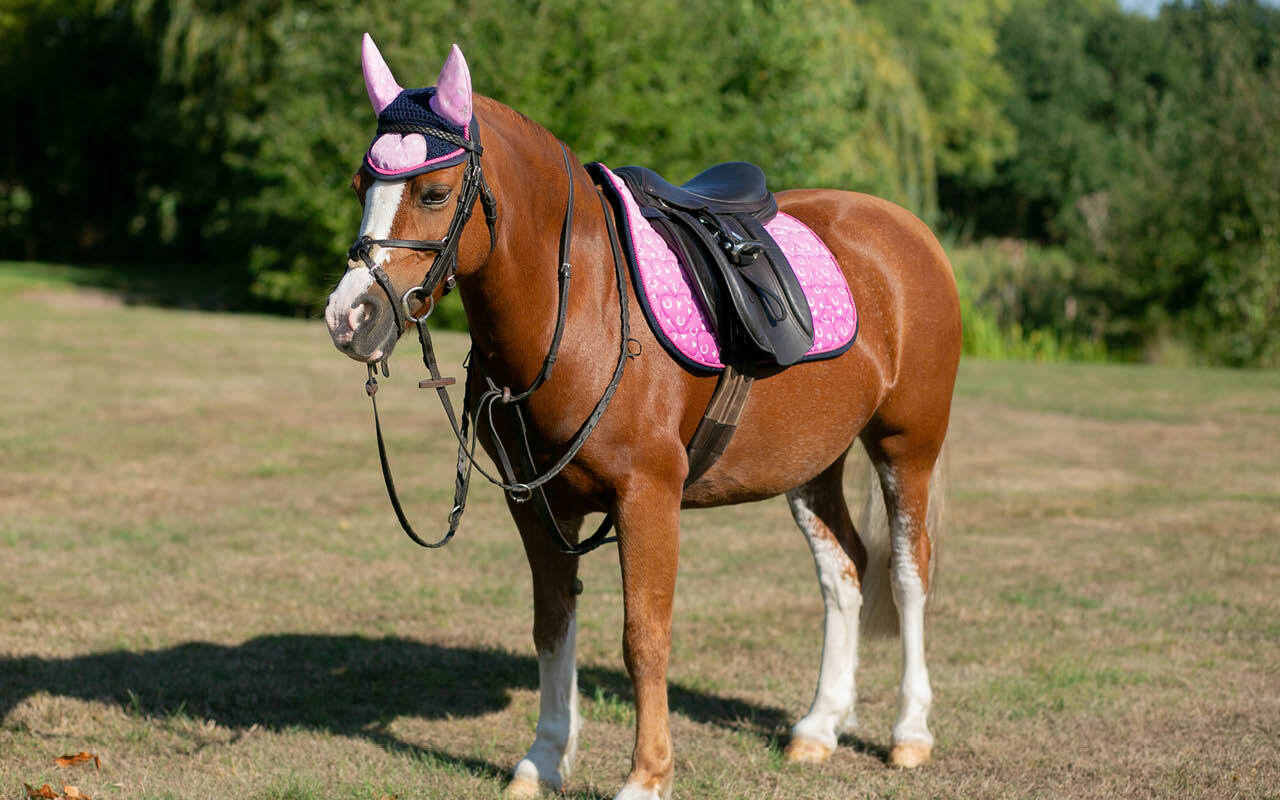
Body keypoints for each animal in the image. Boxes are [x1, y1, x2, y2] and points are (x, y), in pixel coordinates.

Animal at [324, 37, 961, 800]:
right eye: (360, 186)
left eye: (434, 193)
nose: (349, 316)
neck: (584, 311)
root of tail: (908, 229)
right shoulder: (536, 507)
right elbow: (552, 625)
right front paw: (544, 758)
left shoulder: (647, 498)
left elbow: (643, 637)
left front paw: (647, 775)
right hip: (813, 464)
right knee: (845, 572)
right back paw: (819, 727)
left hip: (907, 445)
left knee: (909, 573)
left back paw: (910, 732)